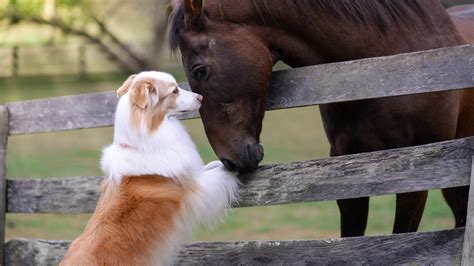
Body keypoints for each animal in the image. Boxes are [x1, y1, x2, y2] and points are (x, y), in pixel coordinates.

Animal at [62, 71, 241, 266]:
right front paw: (235, 165)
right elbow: (220, 172)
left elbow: (212, 166)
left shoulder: (191, 174)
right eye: (174, 90)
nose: (200, 97)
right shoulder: (196, 189)